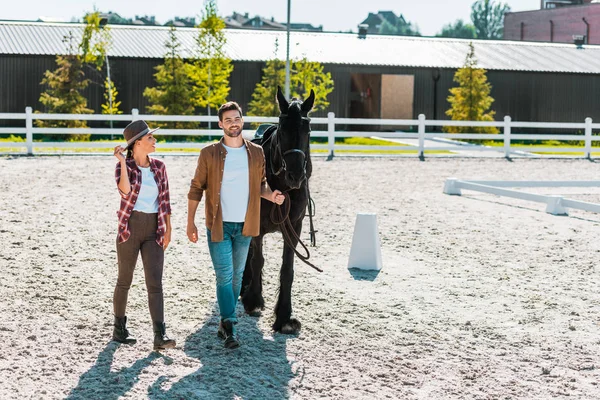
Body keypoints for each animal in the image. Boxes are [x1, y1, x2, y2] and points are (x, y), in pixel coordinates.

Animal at [241, 87, 316, 334]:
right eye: (283, 128)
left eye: (307, 129)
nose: (295, 175)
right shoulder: (255, 223)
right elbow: (257, 260)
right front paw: (253, 300)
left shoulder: (295, 227)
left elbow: (287, 269)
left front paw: (284, 316)